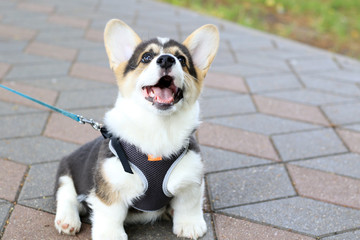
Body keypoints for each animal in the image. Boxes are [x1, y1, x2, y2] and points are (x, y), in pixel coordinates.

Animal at [53, 19, 219, 240]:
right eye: (146, 57)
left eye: (181, 59)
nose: (166, 60)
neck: (158, 128)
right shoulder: (111, 186)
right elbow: (110, 214)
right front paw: (110, 235)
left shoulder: (190, 181)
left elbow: (189, 204)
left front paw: (189, 225)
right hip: (66, 171)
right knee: (67, 196)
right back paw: (67, 220)